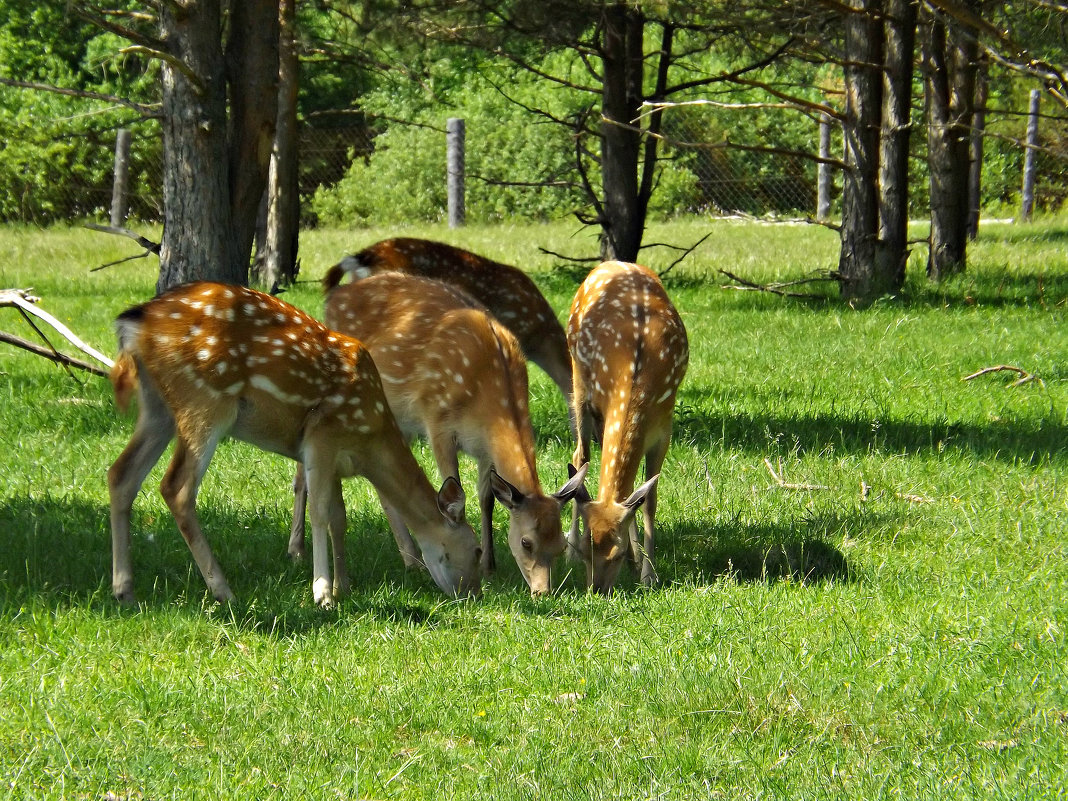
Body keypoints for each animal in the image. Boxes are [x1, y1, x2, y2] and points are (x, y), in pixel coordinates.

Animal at [106, 281, 482, 606]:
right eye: (477, 549)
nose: (472, 595)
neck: (369, 439)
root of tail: (134, 322)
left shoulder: (335, 458)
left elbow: (338, 516)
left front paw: (344, 587)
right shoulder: (323, 432)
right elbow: (319, 511)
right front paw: (323, 594)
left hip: (157, 407)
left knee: (120, 474)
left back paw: (124, 590)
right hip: (205, 399)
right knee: (176, 487)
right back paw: (223, 590)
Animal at [292, 270, 589, 598]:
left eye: (560, 546)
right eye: (527, 542)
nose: (542, 591)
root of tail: (334, 296)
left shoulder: (484, 448)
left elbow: (486, 497)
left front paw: (489, 565)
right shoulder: (438, 422)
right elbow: (453, 486)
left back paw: (410, 558)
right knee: (302, 472)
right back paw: (297, 549)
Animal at [563, 263, 687, 598]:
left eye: (615, 554)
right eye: (586, 550)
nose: (596, 591)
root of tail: (615, 263)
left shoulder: (664, 427)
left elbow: (648, 498)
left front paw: (647, 573)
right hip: (578, 381)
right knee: (579, 456)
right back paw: (564, 546)